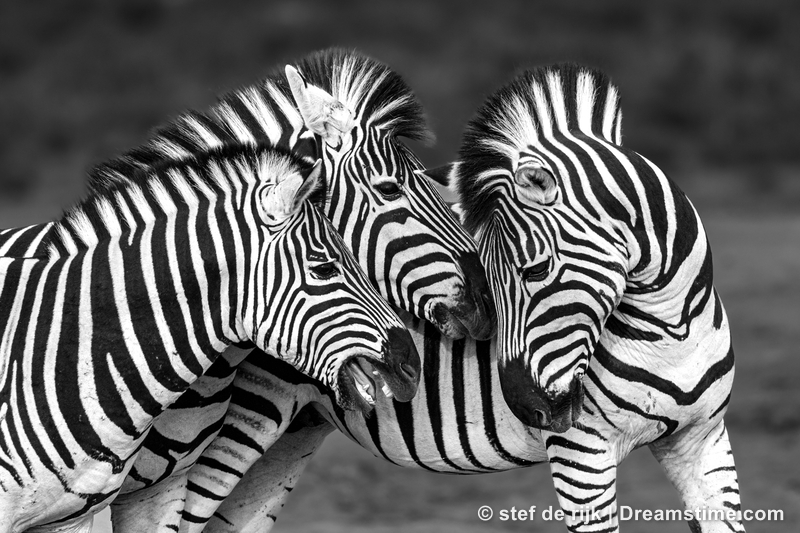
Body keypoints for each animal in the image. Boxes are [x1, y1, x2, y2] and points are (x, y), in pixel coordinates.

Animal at [188, 64, 742, 533]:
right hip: (248, 409)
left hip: (296, 429)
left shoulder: (703, 442)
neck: (670, 328)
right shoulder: (581, 453)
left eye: (534, 271)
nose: (526, 407)